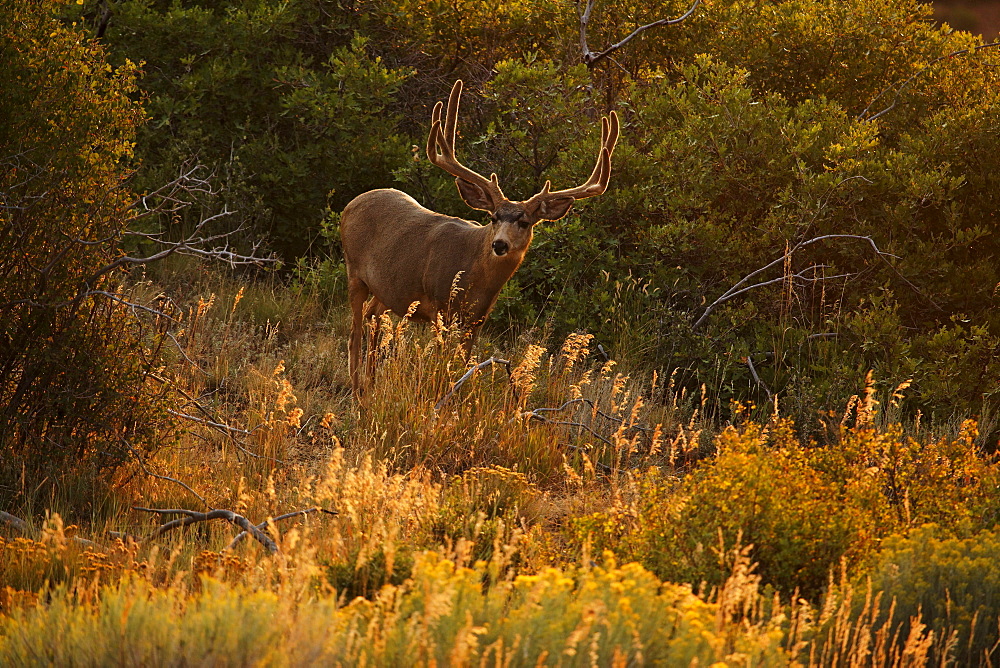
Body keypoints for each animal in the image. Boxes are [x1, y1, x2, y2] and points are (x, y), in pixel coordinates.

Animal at [340, 81, 612, 400]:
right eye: (493, 217)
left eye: (524, 222)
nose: (500, 244)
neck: (475, 275)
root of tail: (352, 203)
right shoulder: (440, 306)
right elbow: (441, 362)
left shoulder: (477, 320)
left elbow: (462, 364)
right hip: (354, 270)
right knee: (354, 332)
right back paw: (357, 389)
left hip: (388, 289)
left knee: (373, 318)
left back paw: (371, 384)